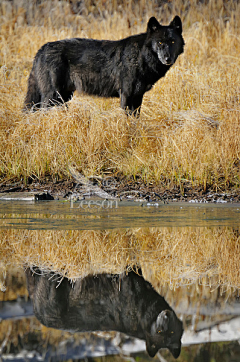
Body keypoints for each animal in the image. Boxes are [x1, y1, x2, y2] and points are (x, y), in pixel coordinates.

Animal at [23, 15, 184, 114]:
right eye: (160, 43)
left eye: (172, 42)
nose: (167, 58)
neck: (141, 57)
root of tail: (41, 49)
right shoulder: (126, 94)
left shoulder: (138, 96)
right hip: (52, 97)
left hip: (64, 97)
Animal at [26, 268, 183, 358]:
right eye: (160, 331)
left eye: (168, 332)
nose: (166, 315)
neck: (143, 318)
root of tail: (38, 313)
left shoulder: (127, 279)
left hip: (52, 279)